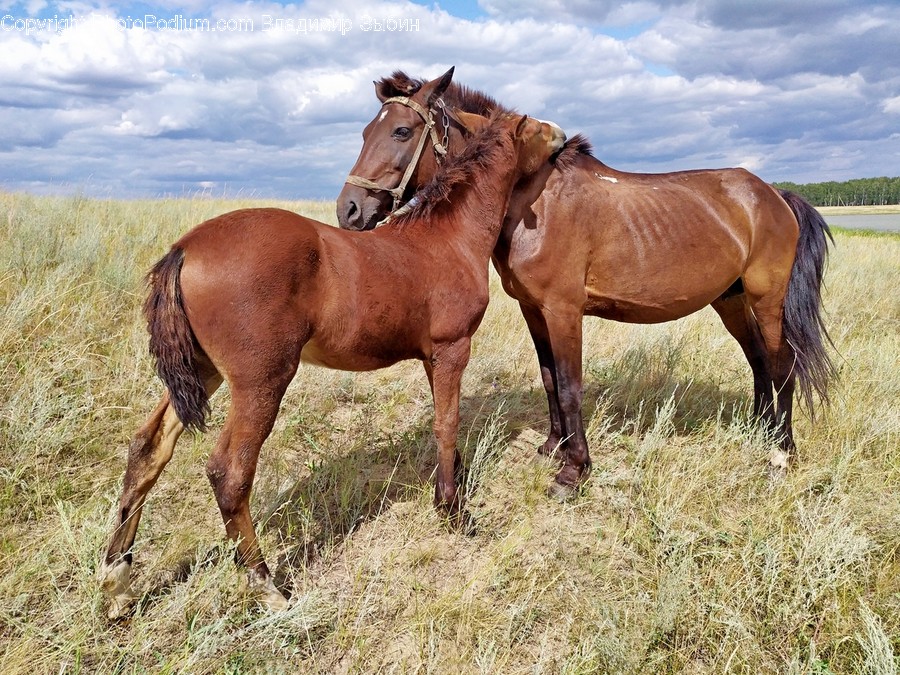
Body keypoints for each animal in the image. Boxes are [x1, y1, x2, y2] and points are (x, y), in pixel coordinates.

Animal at [99, 111, 566, 619]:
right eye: (534, 129)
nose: (563, 137)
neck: (447, 238)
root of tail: (185, 248)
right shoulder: (452, 348)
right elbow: (447, 425)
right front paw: (454, 512)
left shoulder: (431, 357)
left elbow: (445, 422)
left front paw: (452, 492)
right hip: (261, 380)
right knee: (230, 472)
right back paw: (266, 585)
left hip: (204, 371)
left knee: (147, 448)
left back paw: (116, 580)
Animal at [337, 68, 835, 498]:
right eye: (364, 133)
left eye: (402, 132)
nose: (349, 210)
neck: (532, 196)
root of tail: (773, 194)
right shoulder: (533, 309)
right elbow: (549, 378)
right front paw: (553, 448)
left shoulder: (563, 310)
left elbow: (571, 385)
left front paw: (573, 470)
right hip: (730, 300)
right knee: (757, 360)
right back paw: (759, 430)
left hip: (768, 299)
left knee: (782, 363)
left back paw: (782, 450)